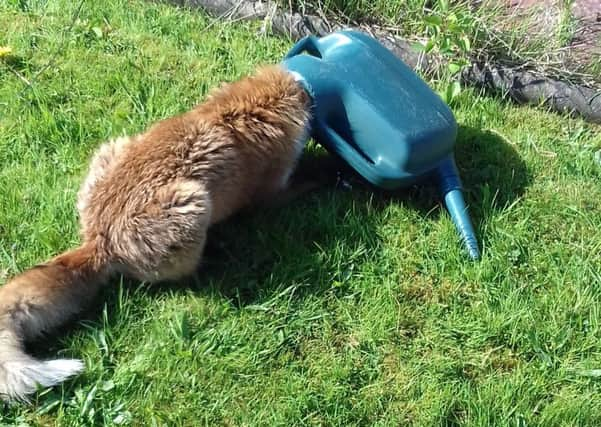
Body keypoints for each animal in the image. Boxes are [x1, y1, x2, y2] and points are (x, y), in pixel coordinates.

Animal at [0, 65, 310, 402]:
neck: (239, 110)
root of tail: (98, 240)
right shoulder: (271, 193)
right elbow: (304, 181)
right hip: (194, 204)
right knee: (181, 276)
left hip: (113, 146)